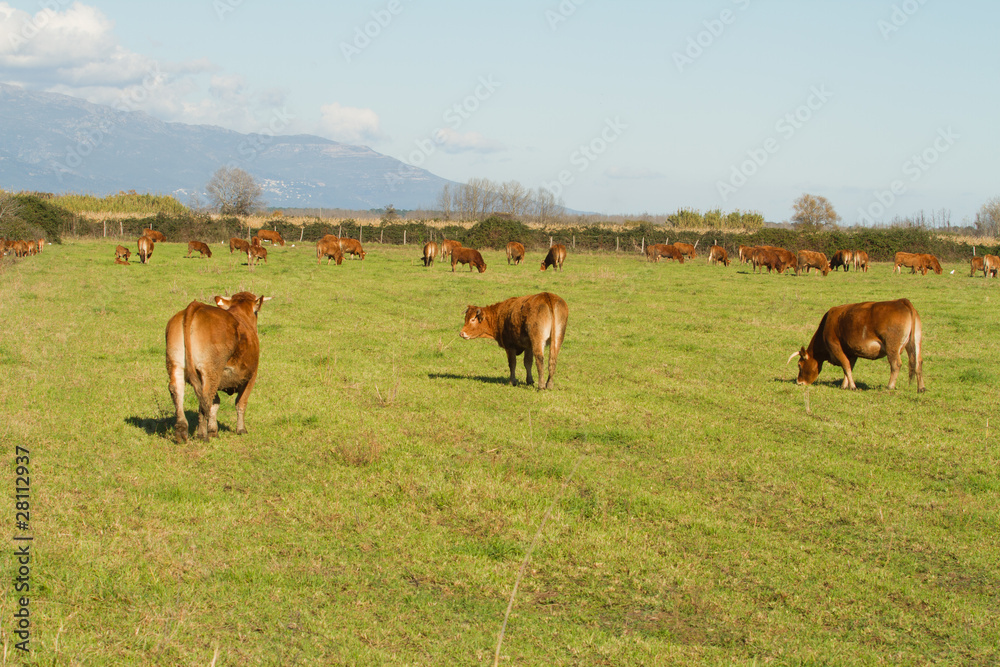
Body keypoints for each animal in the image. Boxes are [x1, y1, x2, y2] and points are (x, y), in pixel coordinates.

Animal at [166, 292, 272, 444]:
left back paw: (181, 431)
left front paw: (213, 431)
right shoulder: (251, 375)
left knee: (177, 391)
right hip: (211, 370)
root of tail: (195, 306)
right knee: (205, 397)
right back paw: (201, 435)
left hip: (176, 365)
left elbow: (215, 404)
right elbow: (241, 403)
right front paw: (241, 429)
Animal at [792, 298, 924, 392]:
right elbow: (848, 367)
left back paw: (890, 386)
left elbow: (845, 365)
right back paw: (921, 388)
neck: (827, 324)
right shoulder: (852, 352)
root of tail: (901, 301)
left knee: (895, 364)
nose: (799, 382)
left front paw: (852, 386)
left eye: (799, 365)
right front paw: (845, 385)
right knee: (918, 362)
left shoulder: (835, 347)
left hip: (892, 347)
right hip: (915, 343)